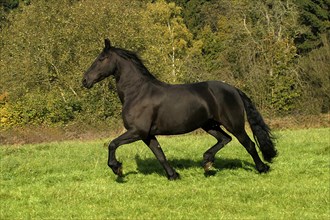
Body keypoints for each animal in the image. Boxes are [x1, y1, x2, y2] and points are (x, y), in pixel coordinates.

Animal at [82, 38, 276, 180]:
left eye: (101, 59)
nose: (85, 80)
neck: (137, 93)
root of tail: (234, 89)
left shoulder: (137, 131)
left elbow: (112, 144)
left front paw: (117, 168)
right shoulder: (147, 135)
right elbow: (160, 154)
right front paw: (173, 175)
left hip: (234, 125)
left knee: (248, 144)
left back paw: (262, 168)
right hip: (209, 125)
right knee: (225, 139)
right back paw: (207, 162)